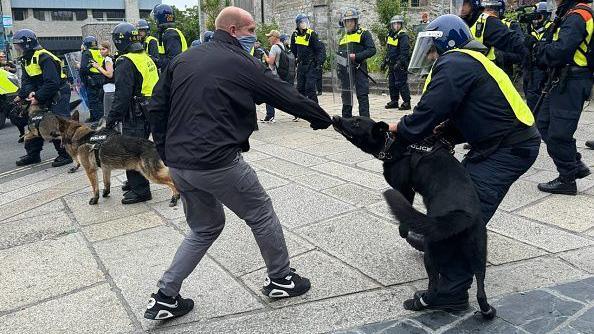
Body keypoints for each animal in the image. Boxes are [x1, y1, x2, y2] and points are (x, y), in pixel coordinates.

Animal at [38, 111, 179, 206]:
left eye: (56, 128)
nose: (49, 134)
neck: (79, 135)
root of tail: (152, 145)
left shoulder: (90, 170)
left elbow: (95, 187)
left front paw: (95, 200)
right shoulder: (106, 168)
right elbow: (107, 183)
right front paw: (106, 193)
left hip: (151, 174)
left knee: (172, 181)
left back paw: (175, 197)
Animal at [332, 116, 494, 320]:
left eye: (355, 123)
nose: (335, 117)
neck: (393, 144)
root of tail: (463, 216)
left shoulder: (404, 190)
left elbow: (404, 218)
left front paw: (403, 231)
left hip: (432, 253)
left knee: (434, 287)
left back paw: (418, 303)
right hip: (478, 254)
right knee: (481, 288)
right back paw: (487, 311)